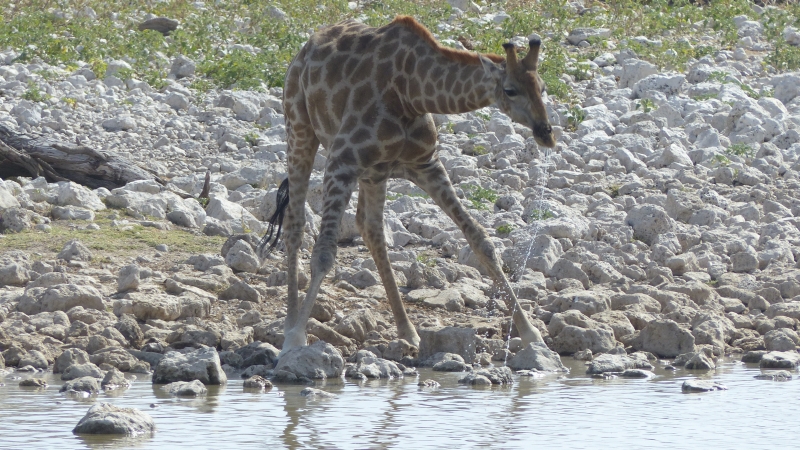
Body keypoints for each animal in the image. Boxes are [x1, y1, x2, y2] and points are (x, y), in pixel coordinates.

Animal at [262, 15, 556, 356]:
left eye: (542, 87)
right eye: (510, 90)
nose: (546, 133)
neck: (411, 91)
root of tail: (305, 48)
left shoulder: (425, 164)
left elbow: (480, 240)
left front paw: (531, 332)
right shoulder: (342, 162)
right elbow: (323, 253)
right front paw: (296, 338)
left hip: (374, 173)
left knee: (370, 228)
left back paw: (408, 330)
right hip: (299, 128)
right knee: (295, 223)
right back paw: (289, 324)